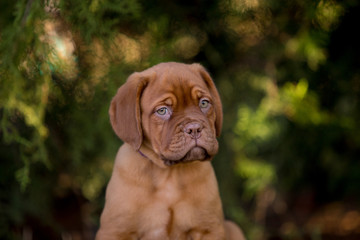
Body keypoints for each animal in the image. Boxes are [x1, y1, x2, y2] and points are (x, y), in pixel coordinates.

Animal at [97, 62, 246, 240]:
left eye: (204, 103)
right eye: (162, 111)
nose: (194, 128)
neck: (168, 174)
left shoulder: (209, 229)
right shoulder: (115, 231)